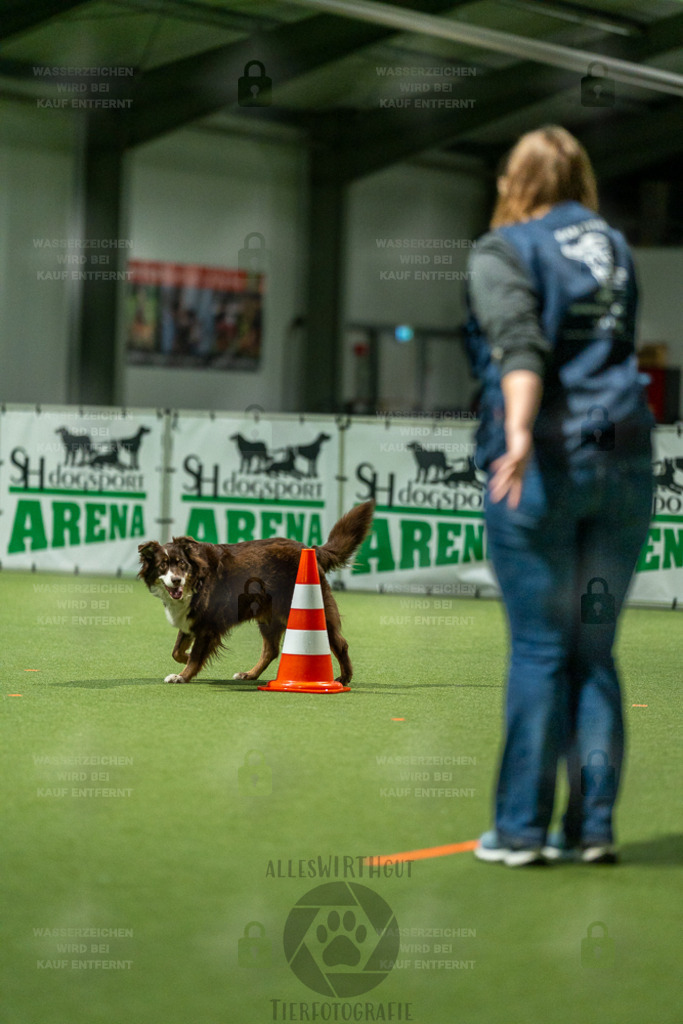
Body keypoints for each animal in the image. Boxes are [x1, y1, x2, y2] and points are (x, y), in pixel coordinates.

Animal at [137, 499, 376, 684]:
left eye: (182, 564)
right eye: (163, 566)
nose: (176, 580)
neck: (197, 580)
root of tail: (310, 549)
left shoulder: (207, 625)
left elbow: (196, 656)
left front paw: (182, 675)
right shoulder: (191, 620)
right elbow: (176, 651)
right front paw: (185, 659)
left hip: (314, 609)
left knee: (340, 644)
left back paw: (344, 678)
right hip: (269, 616)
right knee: (271, 650)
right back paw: (250, 674)